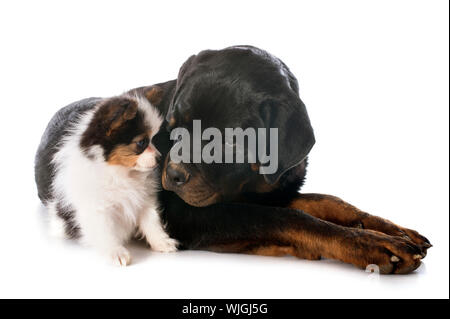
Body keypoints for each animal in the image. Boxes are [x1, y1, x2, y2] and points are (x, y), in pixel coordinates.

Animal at [34, 90, 178, 268]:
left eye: (153, 140)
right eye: (141, 142)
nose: (159, 158)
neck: (120, 172)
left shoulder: (143, 196)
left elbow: (151, 220)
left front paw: (162, 241)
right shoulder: (95, 206)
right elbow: (105, 230)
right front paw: (115, 252)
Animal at [134, 45, 432, 276]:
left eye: (228, 142)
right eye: (174, 126)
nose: (172, 175)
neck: (251, 182)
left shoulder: (270, 192)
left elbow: (327, 201)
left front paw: (391, 229)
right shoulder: (184, 213)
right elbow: (289, 218)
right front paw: (371, 245)